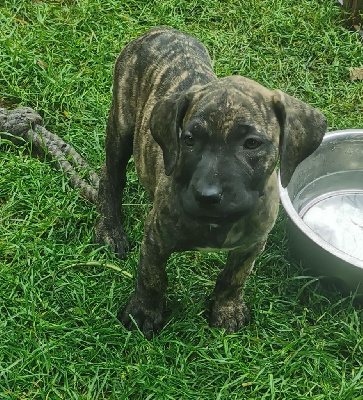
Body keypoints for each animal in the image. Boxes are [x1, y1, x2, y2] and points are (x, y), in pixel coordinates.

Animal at [95, 25, 328, 338]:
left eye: (251, 143)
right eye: (189, 140)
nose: (207, 195)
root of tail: (159, 30)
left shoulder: (252, 244)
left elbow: (234, 278)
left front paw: (227, 309)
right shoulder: (156, 237)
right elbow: (151, 276)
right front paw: (144, 312)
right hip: (121, 125)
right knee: (111, 178)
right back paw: (110, 230)